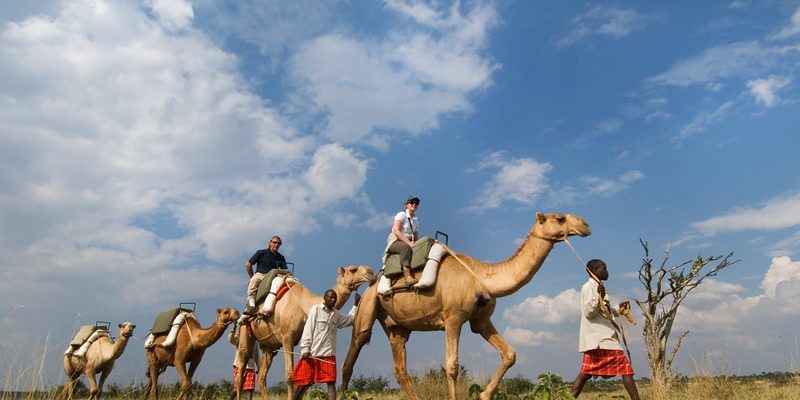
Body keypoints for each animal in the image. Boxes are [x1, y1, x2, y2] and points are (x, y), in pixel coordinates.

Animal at [234, 265, 375, 400]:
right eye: (353, 270)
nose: (371, 272)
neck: (303, 304)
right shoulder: (287, 337)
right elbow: (290, 376)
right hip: (245, 332)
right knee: (240, 373)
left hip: (270, 346)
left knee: (261, 377)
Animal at [341, 212, 591, 400]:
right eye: (559, 218)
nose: (585, 224)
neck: (480, 275)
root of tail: (373, 282)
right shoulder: (453, 317)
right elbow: (451, 366)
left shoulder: (480, 319)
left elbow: (509, 354)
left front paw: (484, 394)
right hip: (369, 306)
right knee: (353, 352)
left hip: (397, 326)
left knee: (399, 367)